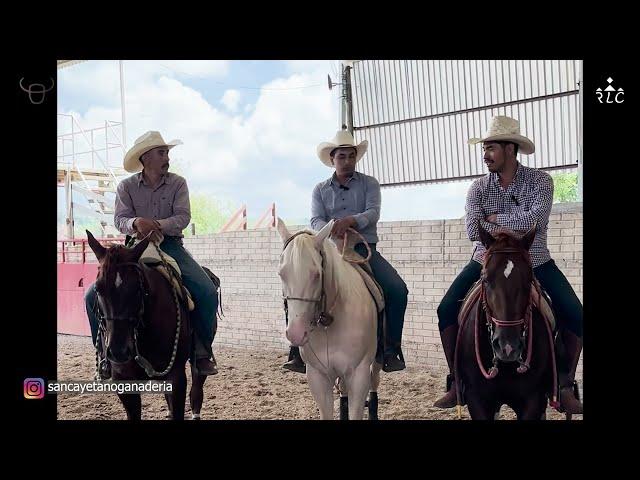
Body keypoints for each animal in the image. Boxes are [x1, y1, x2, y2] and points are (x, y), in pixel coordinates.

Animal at [87, 231, 206, 418]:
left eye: (137, 288)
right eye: (98, 289)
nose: (118, 352)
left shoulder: (177, 377)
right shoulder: (123, 380)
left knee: (197, 388)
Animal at [276, 218, 380, 420]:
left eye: (317, 274)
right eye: (281, 273)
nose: (296, 333)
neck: (329, 323)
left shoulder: (359, 375)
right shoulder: (318, 376)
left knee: (375, 383)